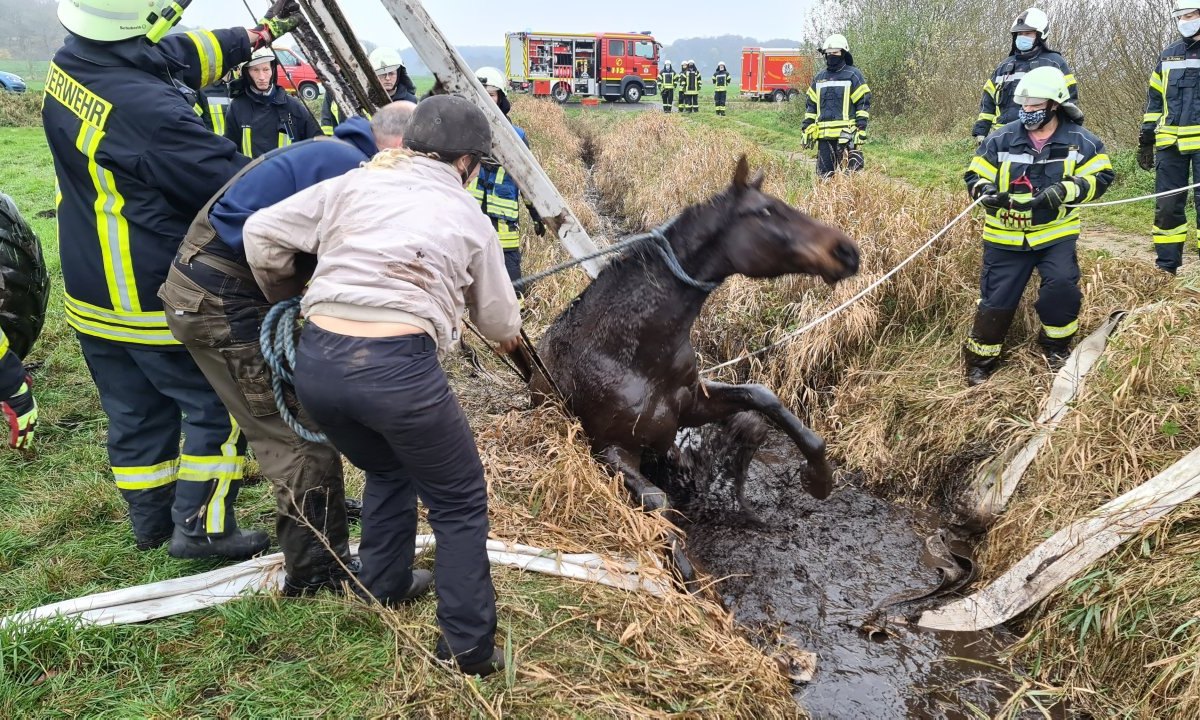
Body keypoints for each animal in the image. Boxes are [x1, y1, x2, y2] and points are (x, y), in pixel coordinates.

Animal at [530, 154, 859, 576]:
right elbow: (658, 504)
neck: (629, 354)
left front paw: (819, 479)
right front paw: (692, 578)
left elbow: (764, 398)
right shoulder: (609, 449)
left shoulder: (692, 403)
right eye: (765, 212)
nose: (847, 251)